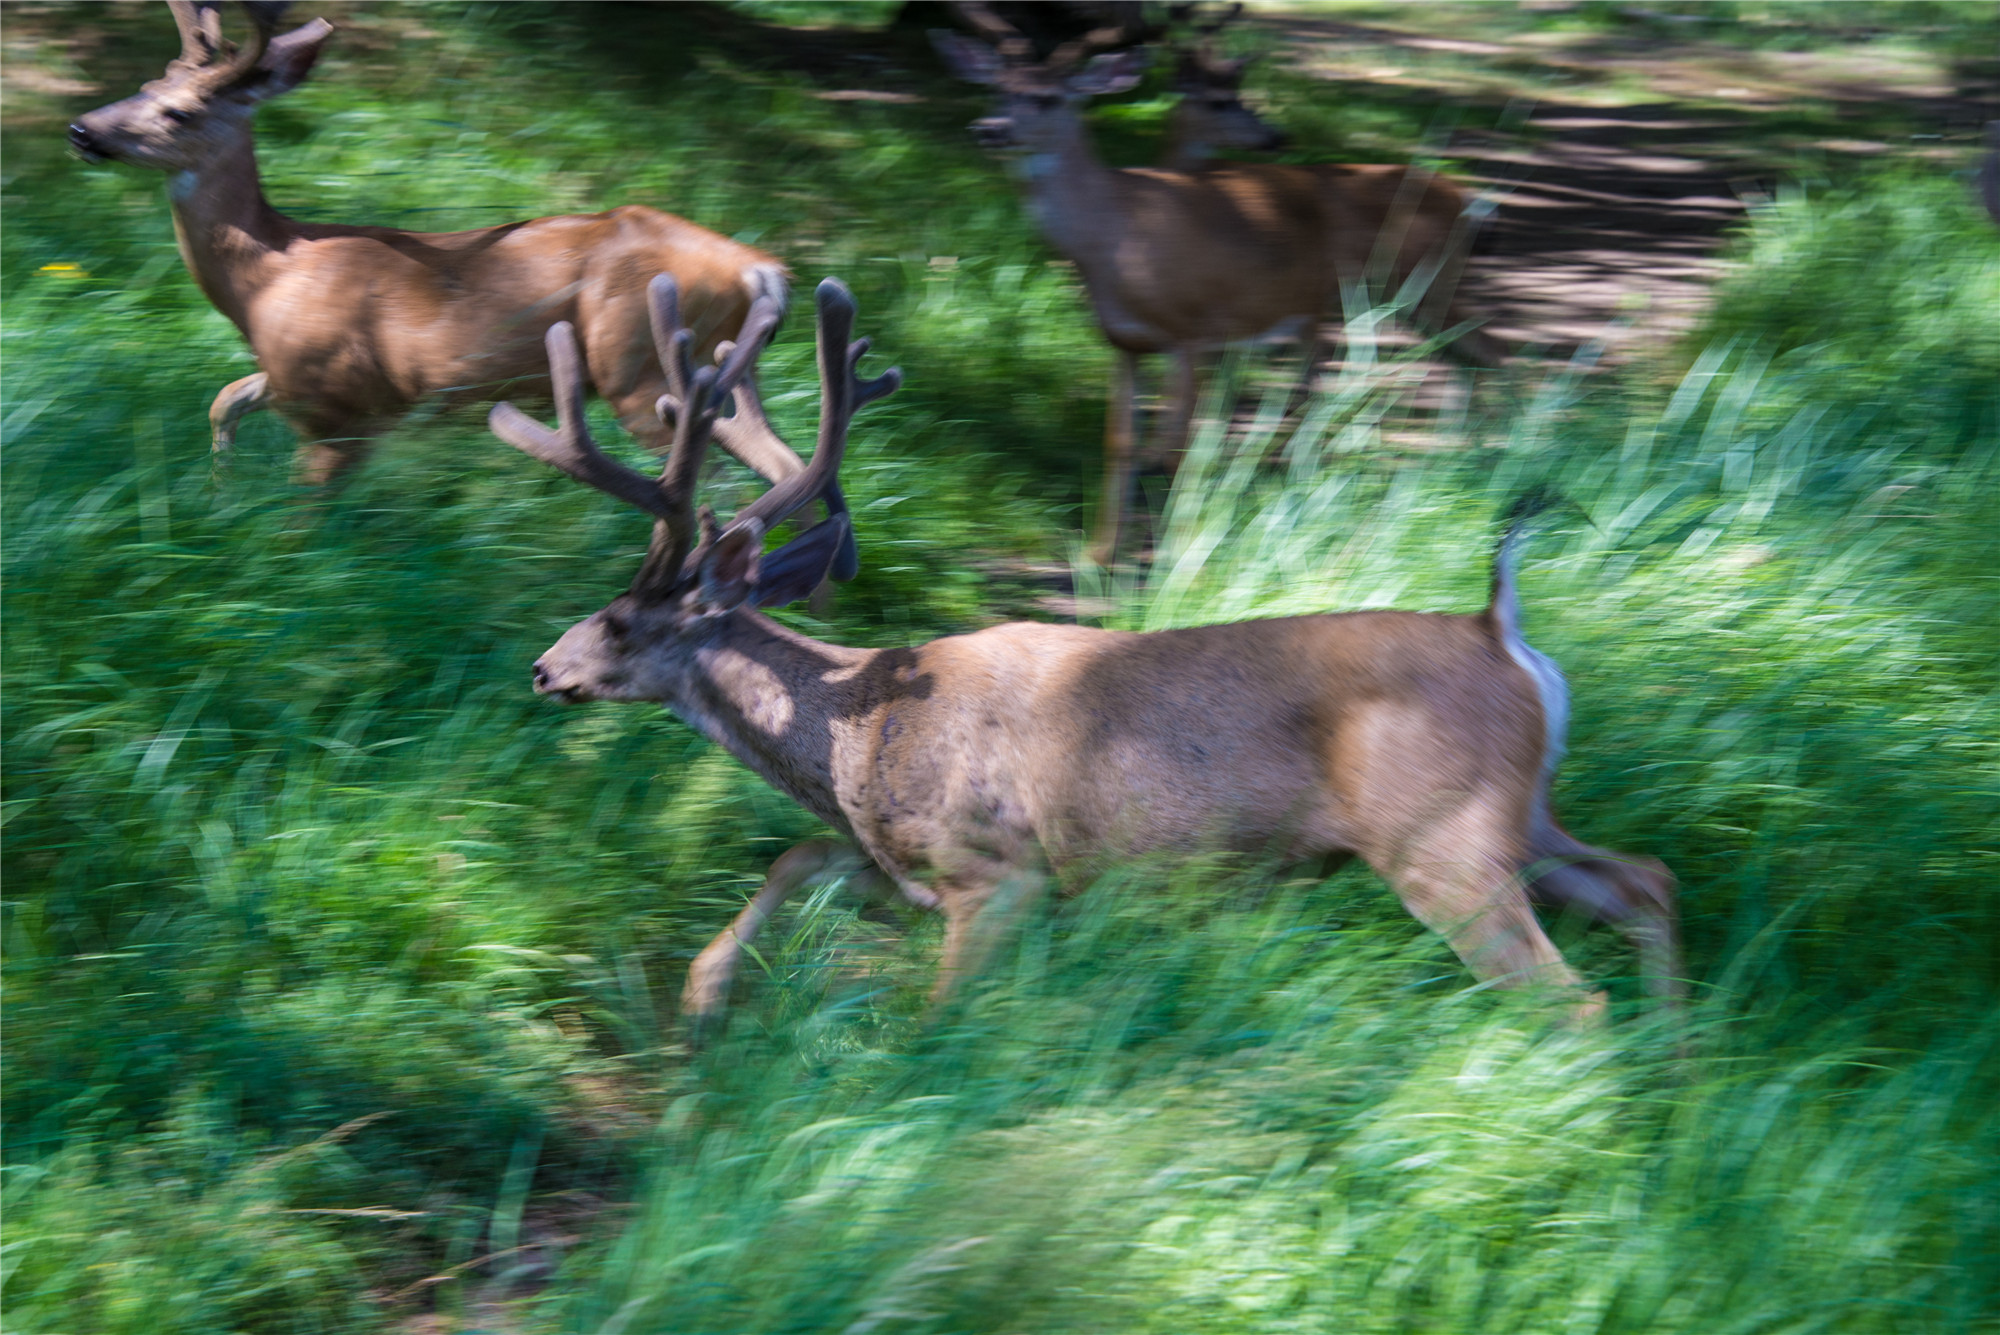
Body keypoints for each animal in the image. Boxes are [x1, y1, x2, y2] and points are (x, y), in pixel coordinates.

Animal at [484, 271, 1672, 1031]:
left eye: (622, 618)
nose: (542, 669)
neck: (857, 732)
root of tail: (1500, 627)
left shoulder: (996, 870)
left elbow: (934, 1016)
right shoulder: (904, 866)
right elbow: (795, 859)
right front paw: (702, 996)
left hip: (1438, 836)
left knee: (1570, 996)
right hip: (1517, 816)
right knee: (1646, 881)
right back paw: (1675, 1073)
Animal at [936, 22, 1504, 563]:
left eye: (1050, 97)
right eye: (996, 89)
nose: (989, 129)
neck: (1116, 238)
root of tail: (1464, 196)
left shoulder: (1192, 332)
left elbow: (1180, 447)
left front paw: (1175, 551)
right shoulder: (1124, 343)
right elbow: (1119, 443)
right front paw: (1100, 554)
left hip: (1420, 283)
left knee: (1488, 352)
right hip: (1342, 305)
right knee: (1396, 372)